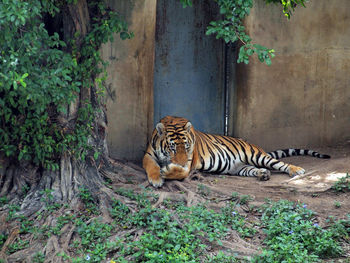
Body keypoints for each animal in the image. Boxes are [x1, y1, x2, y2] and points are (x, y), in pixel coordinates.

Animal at [143, 116, 330, 188]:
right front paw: (156, 179)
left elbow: (180, 172)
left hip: (257, 155)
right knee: (253, 169)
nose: (179, 162)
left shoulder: (189, 163)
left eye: (187, 147)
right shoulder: (149, 155)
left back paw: (297, 170)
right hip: (239, 167)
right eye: (172, 148)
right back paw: (263, 174)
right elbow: (151, 166)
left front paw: (166, 172)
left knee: (280, 163)